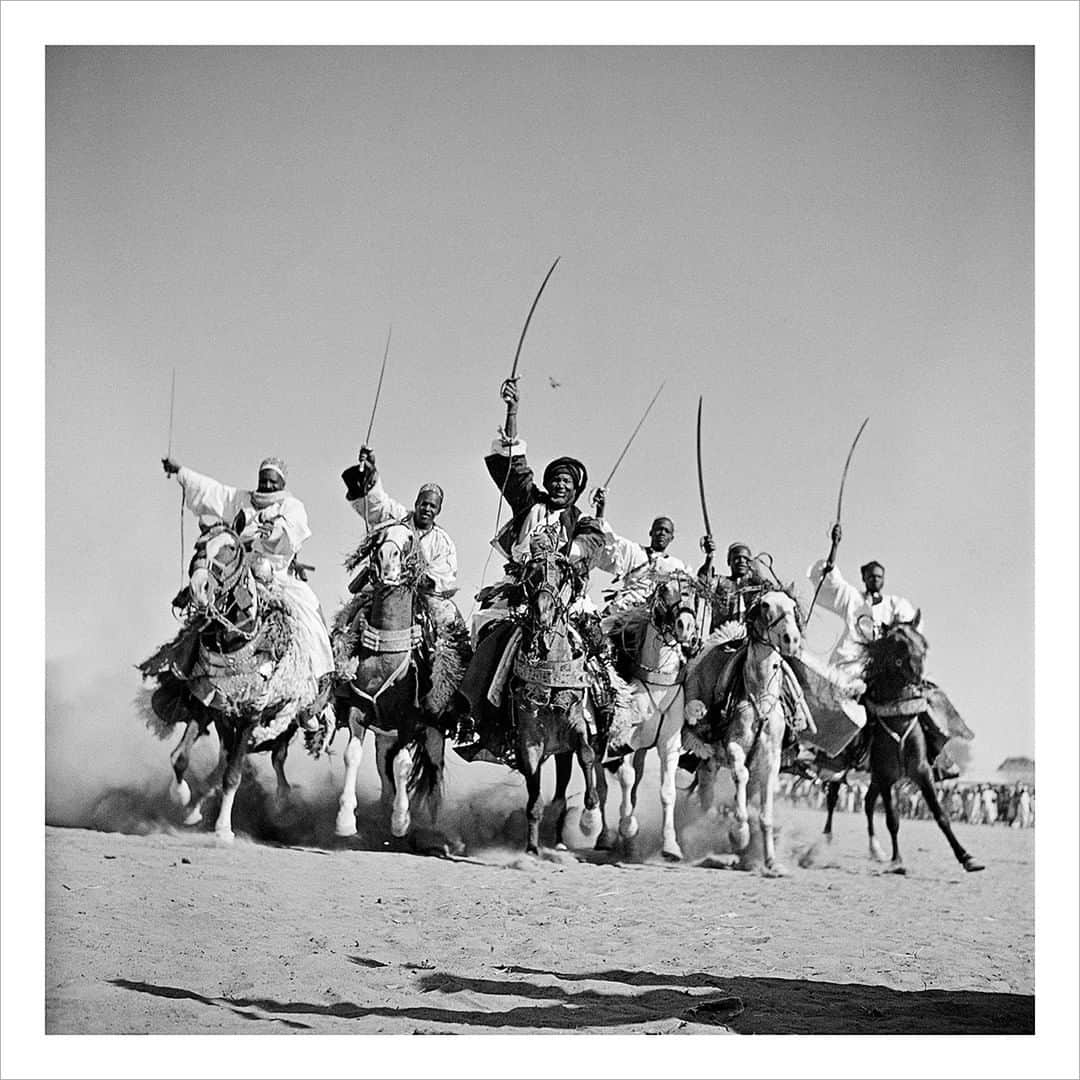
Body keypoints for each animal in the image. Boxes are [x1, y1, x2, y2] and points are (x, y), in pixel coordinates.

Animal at [139, 518, 332, 838]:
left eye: (231, 549)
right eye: (198, 545)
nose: (199, 588)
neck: (234, 639)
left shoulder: (250, 715)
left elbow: (233, 775)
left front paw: (222, 829)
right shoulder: (206, 703)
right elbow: (180, 758)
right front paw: (183, 800)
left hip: (287, 719)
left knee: (276, 758)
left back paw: (281, 805)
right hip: (225, 722)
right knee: (222, 761)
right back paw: (196, 807)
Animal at [328, 518, 464, 846]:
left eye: (409, 541)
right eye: (380, 538)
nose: (387, 560)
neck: (387, 652)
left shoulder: (409, 720)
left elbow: (403, 766)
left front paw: (401, 821)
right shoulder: (360, 711)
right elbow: (353, 756)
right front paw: (345, 821)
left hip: (433, 732)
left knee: (433, 774)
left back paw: (431, 827)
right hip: (384, 735)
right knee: (384, 768)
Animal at [600, 574, 699, 859]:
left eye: (693, 592)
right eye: (664, 590)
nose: (685, 627)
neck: (657, 682)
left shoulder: (669, 745)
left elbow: (667, 792)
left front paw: (670, 845)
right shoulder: (624, 742)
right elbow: (626, 779)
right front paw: (628, 827)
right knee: (600, 787)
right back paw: (603, 835)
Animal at [686, 587, 807, 872]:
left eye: (792, 605)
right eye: (765, 605)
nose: (791, 639)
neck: (759, 694)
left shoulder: (771, 758)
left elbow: (765, 813)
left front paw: (771, 862)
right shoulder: (733, 747)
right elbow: (740, 776)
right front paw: (739, 835)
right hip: (709, 764)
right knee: (706, 799)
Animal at [855, 617, 984, 876]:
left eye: (923, 642)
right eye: (897, 642)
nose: (918, 673)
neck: (899, 716)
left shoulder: (921, 770)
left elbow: (941, 815)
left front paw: (967, 857)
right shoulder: (885, 774)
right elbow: (892, 818)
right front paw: (897, 861)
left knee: (868, 801)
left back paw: (876, 851)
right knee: (859, 802)